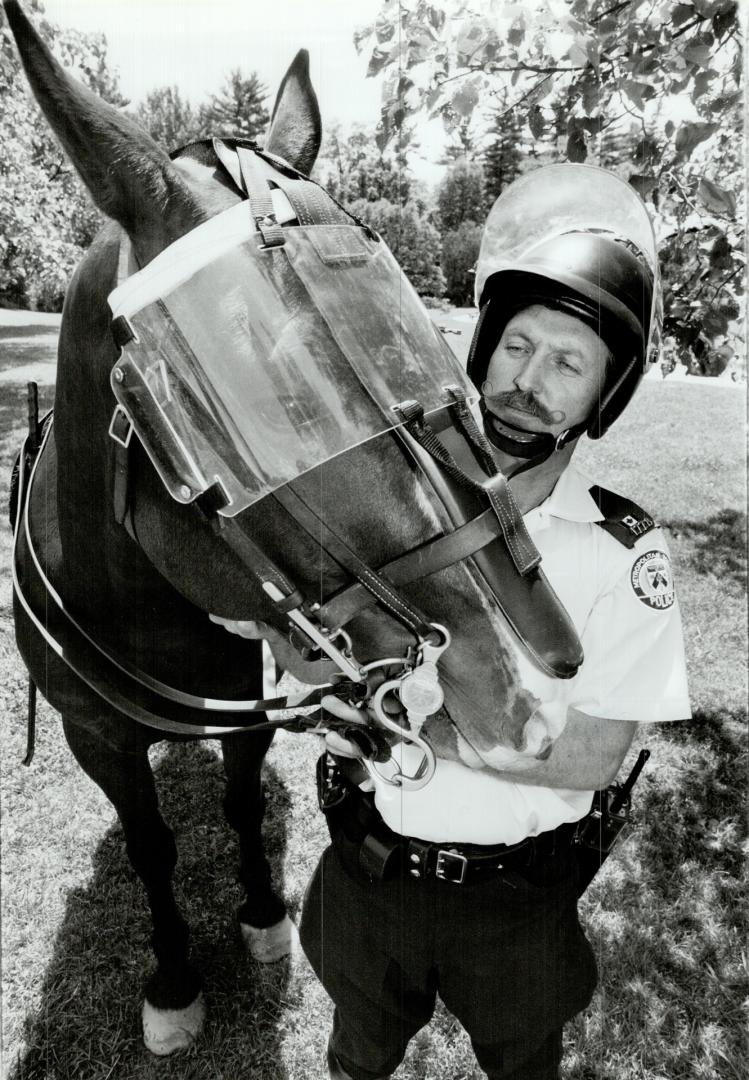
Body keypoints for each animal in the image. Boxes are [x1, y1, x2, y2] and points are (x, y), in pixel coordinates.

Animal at [7, 0, 552, 1054]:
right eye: (283, 407)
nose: (511, 689)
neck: (140, 598)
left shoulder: (245, 696)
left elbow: (235, 798)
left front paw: (258, 914)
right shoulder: (94, 732)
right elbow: (150, 843)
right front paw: (174, 976)